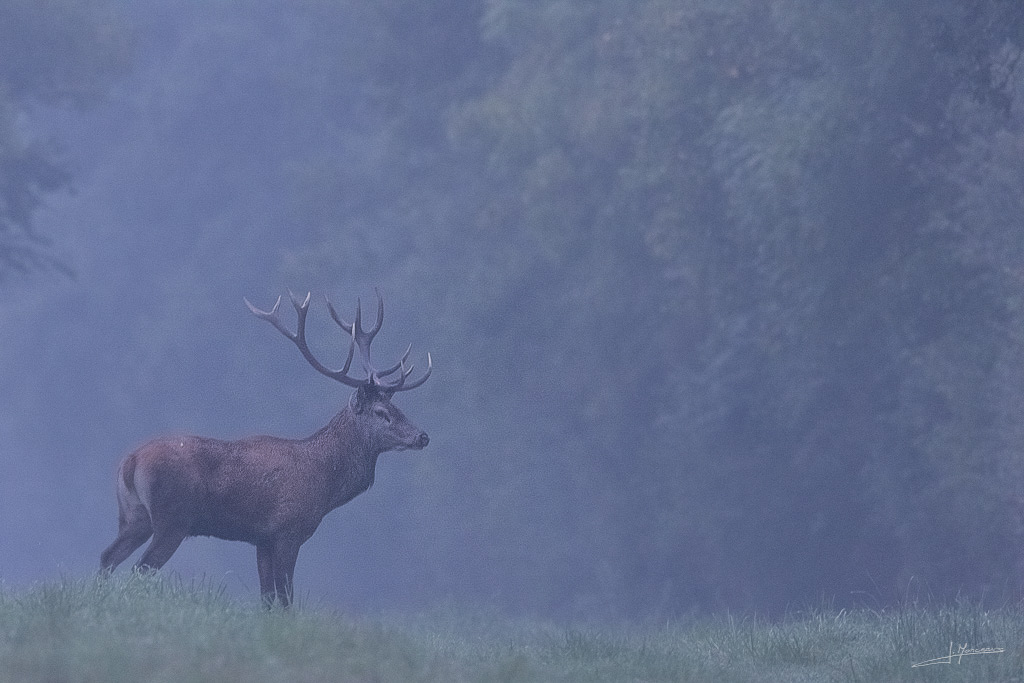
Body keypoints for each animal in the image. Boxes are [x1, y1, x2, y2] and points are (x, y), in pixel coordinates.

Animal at [97, 290, 430, 606]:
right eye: (381, 412)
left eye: (398, 407)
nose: (423, 436)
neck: (324, 483)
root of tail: (131, 461)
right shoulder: (287, 531)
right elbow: (285, 598)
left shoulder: (261, 540)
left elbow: (267, 598)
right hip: (172, 519)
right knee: (139, 568)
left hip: (134, 516)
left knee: (108, 556)